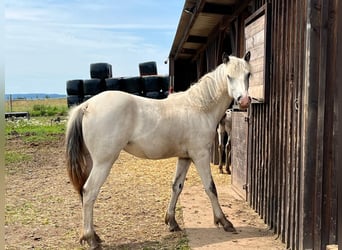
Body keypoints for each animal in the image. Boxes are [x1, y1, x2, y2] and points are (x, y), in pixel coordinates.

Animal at [66, 51, 251, 249]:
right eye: (229, 76)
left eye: (248, 74)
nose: (244, 101)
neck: (199, 107)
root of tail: (86, 105)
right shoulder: (200, 155)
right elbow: (211, 188)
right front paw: (224, 221)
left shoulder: (185, 158)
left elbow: (177, 186)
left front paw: (172, 221)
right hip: (103, 162)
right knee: (89, 191)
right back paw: (91, 238)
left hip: (91, 162)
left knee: (84, 193)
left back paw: (92, 235)